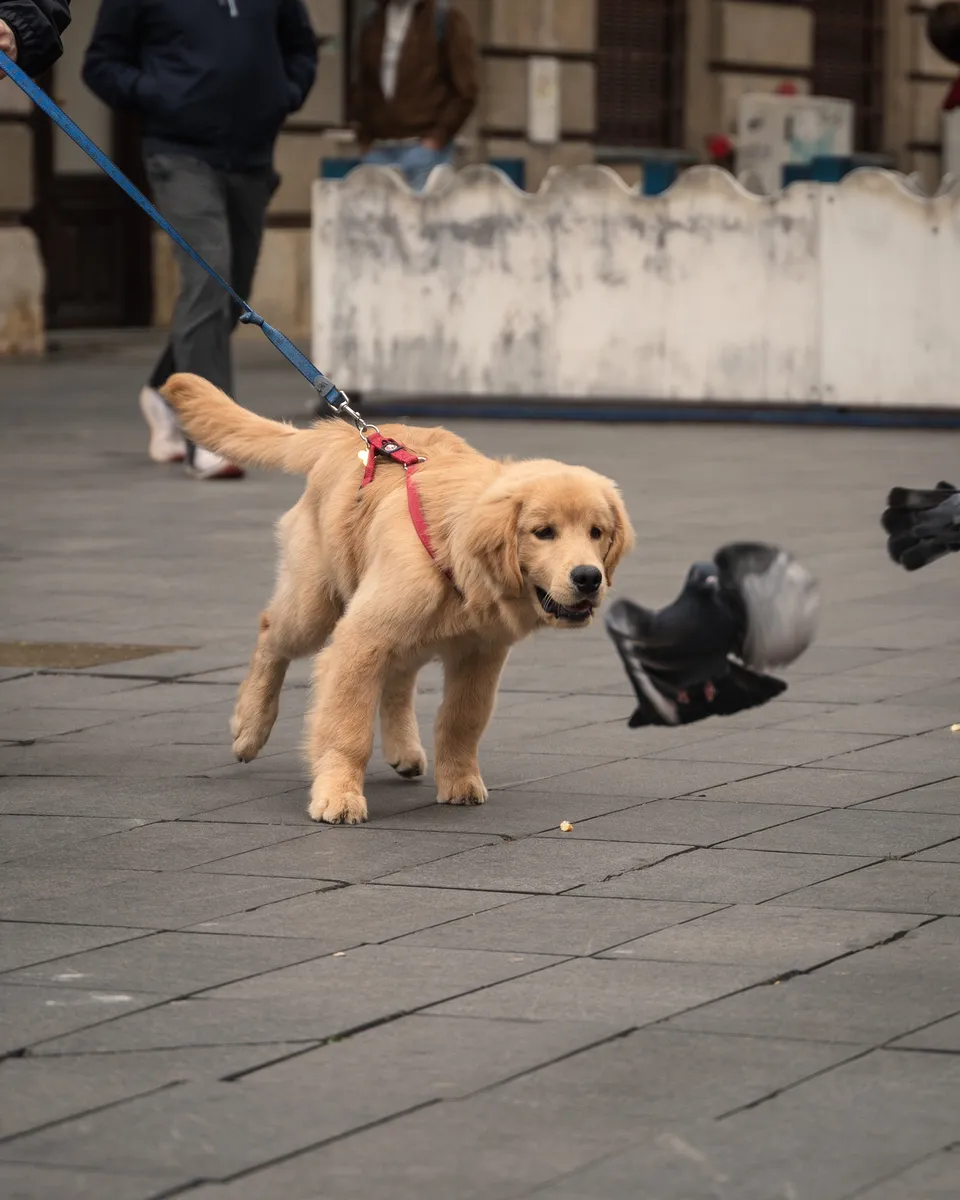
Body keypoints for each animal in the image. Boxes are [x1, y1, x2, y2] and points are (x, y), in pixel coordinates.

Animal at [162, 374, 633, 825]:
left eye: (597, 532)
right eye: (543, 532)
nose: (589, 577)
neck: (453, 552)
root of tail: (343, 434)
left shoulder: (482, 653)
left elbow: (462, 720)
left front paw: (459, 781)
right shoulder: (358, 641)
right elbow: (347, 728)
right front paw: (338, 795)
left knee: (399, 678)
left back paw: (404, 748)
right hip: (316, 607)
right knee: (270, 634)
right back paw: (250, 728)